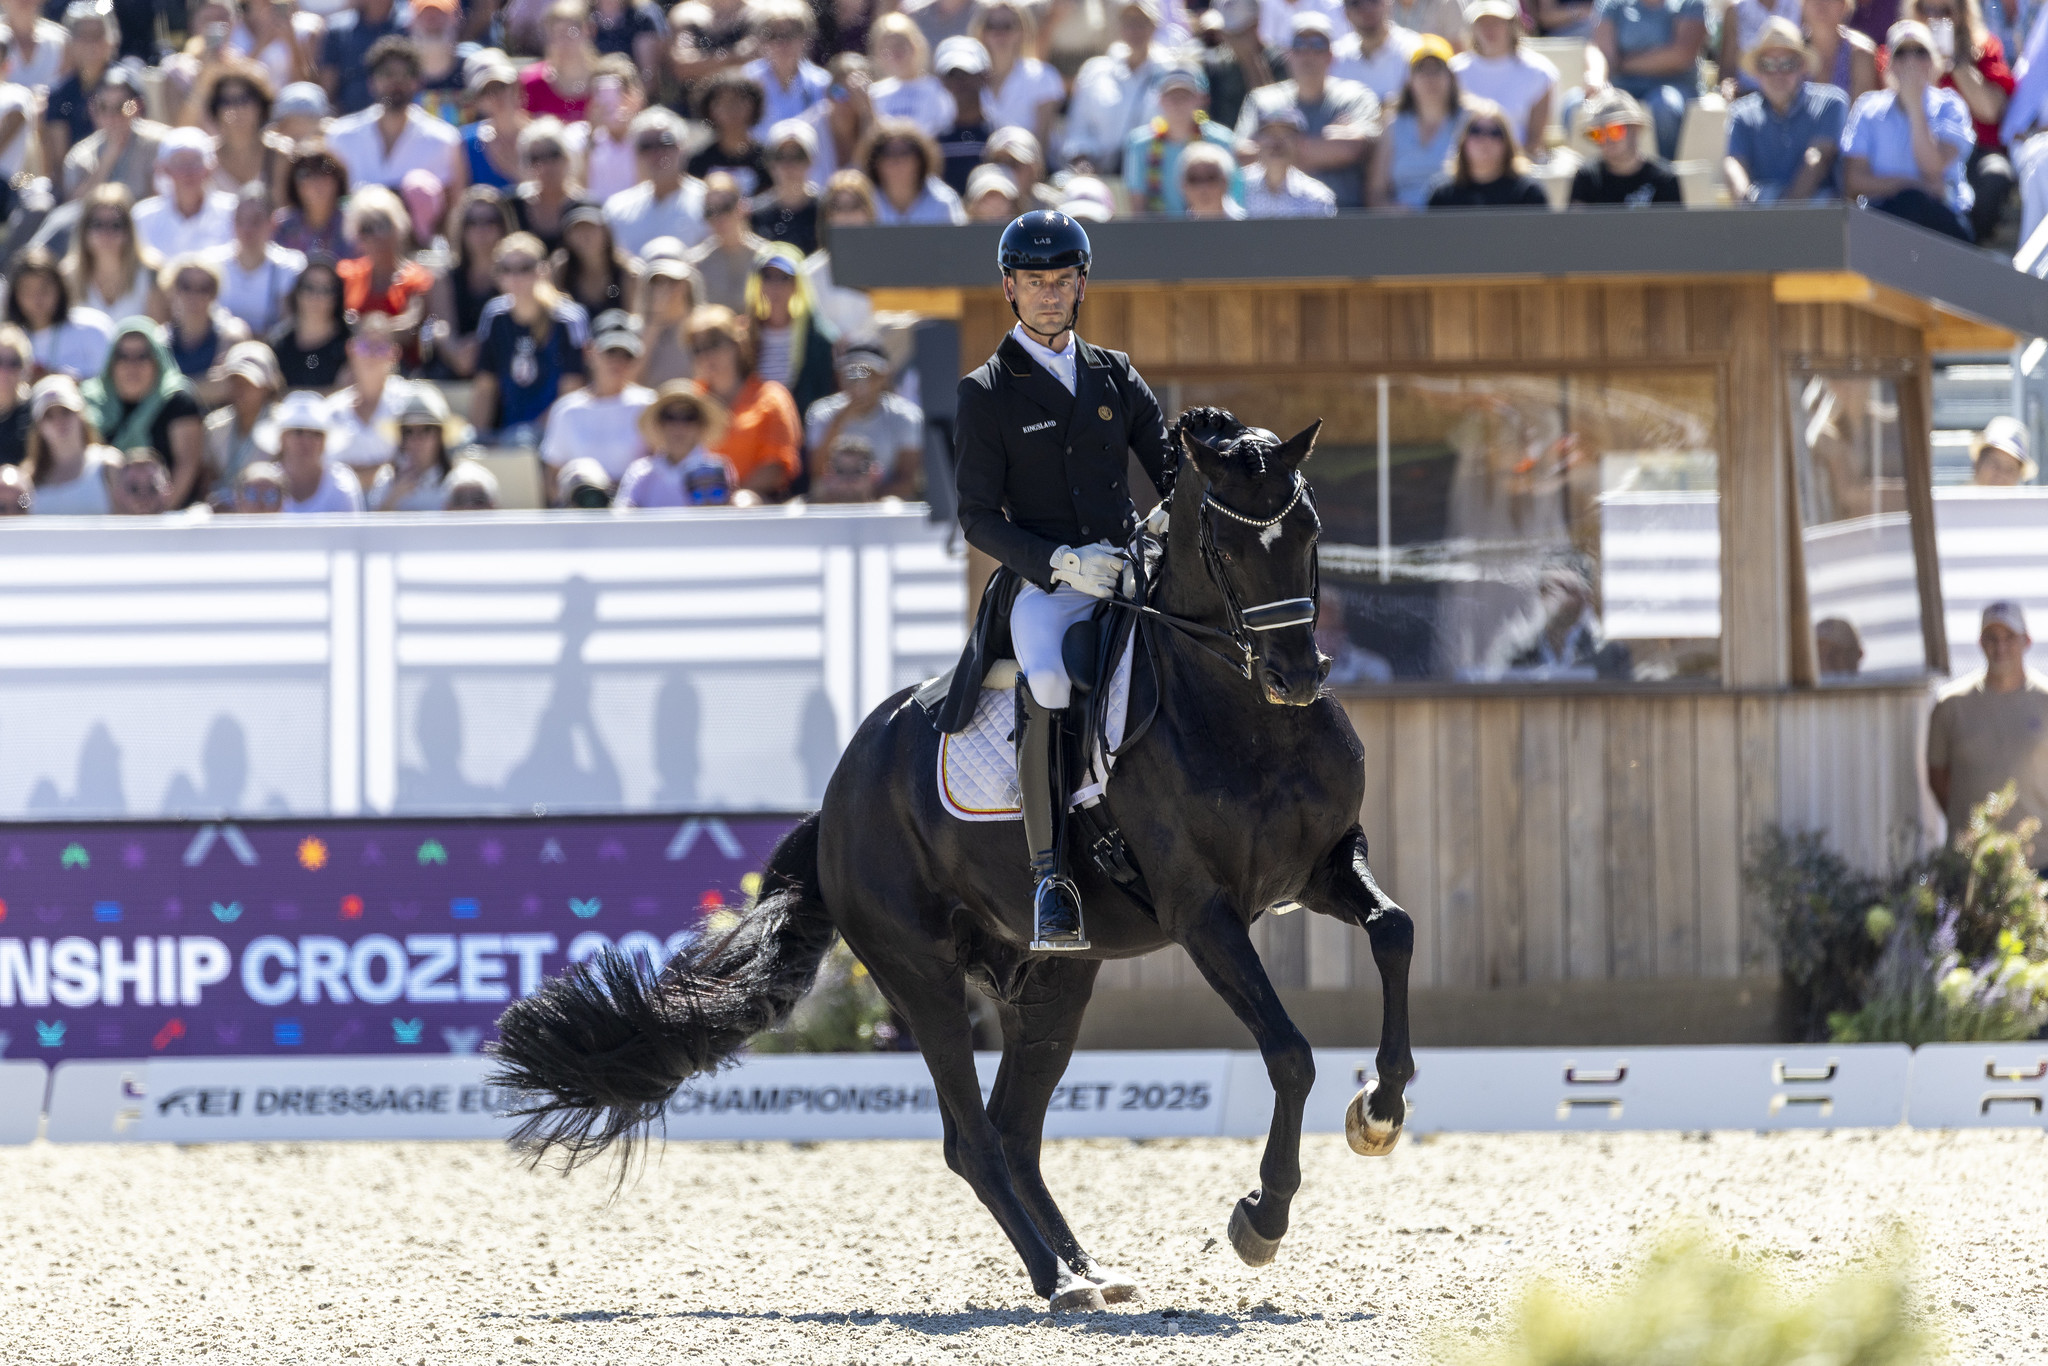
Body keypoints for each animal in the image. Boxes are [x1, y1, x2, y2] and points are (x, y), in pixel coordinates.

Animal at [489, 406, 1417, 1314]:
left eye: (1309, 529)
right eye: (1224, 546)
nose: (1296, 675)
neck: (1249, 719)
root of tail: (838, 799)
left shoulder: (1327, 863)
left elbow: (1395, 931)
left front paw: (1380, 1109)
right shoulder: (1202, 912)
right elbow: (1289, 1052)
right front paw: (1262, 1218)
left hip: (1055, 977)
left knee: (1014, 1130)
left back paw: (1087, 1269)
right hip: (921, 975)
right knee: (972, 1139)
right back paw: (1057, 1281)